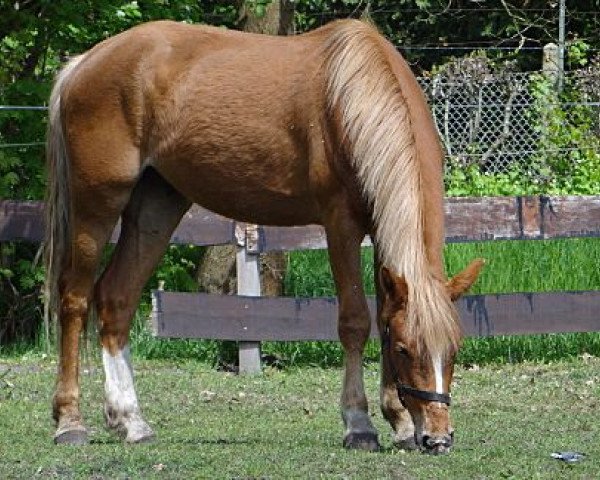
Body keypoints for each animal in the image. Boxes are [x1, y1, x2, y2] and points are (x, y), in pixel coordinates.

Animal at [44, 18, 482, 454]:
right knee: (75, 300)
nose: (438, 438)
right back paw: (70, 421)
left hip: (156, 206)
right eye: (406, 350)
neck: (353, 99)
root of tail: (85, 63)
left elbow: (382, 314)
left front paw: (400, 422)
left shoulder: (381, 230)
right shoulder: (340, 224)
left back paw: (129, 419)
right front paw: (359, 424)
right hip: (97, 205)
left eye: (454, 348)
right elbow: (355, 321)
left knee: (116, 297)